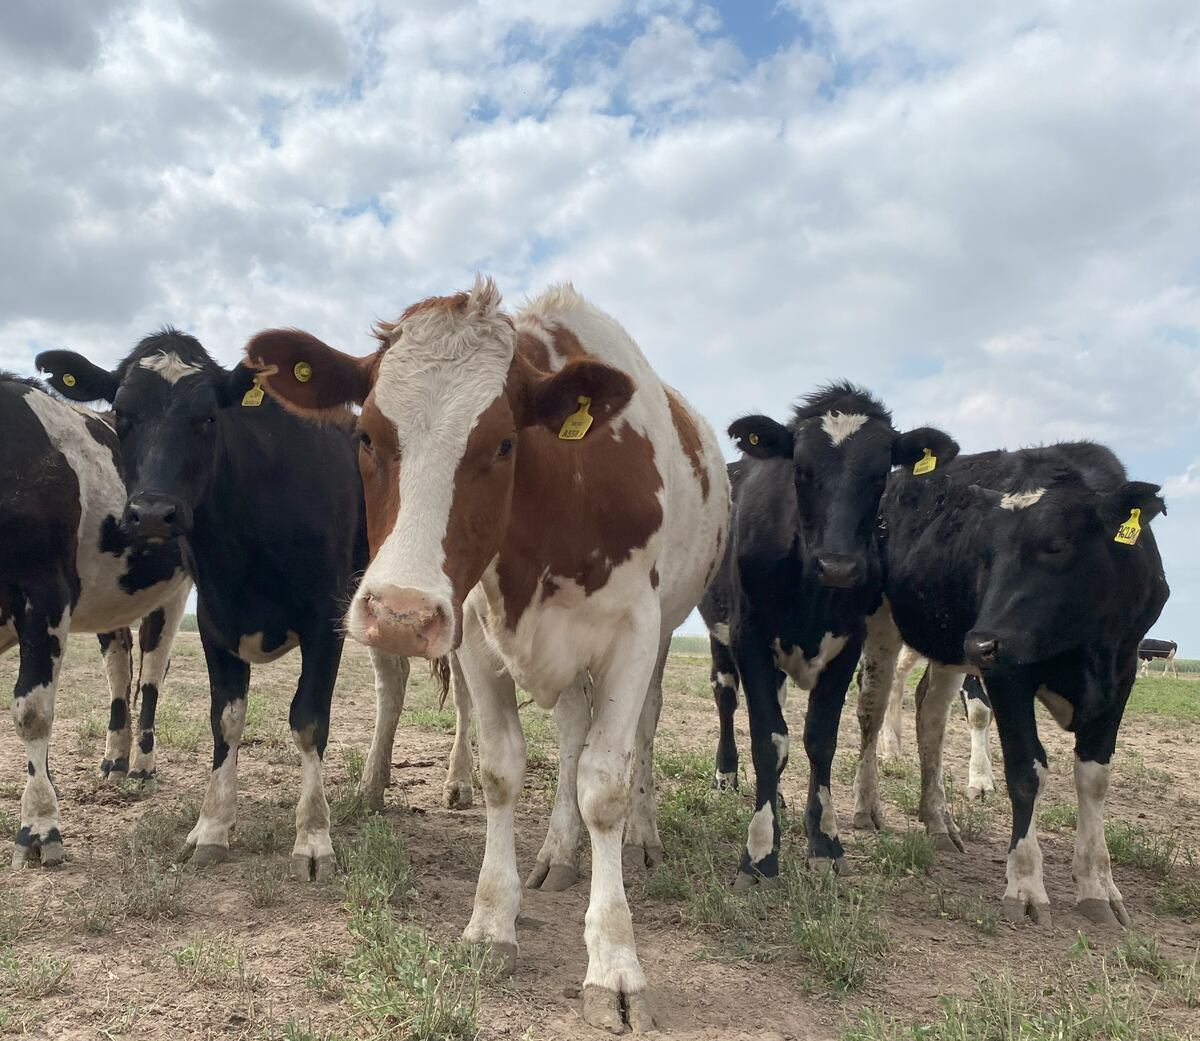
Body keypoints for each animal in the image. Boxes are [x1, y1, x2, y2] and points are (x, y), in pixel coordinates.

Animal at [2, 372, 191, 866]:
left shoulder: (44, 591)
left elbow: (32, 711)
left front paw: (39, 828)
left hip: (173, 592)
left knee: (150, 675)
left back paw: (142, 767)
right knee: (118, 671)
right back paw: (115, 761)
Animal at [36, 330, 406, 881]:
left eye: (208, 417)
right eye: (122, 414)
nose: (152, 513)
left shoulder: (323, 620)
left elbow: (309, 719)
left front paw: (313, 838)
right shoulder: (213, 621)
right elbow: (225, 720)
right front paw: (211, 828)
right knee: (394, 677)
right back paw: (373, 788)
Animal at [243, 279, 729, 1033]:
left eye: (503, 442)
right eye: (365, 435)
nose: (401, 613)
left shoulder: (633, 633)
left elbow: (605, 787)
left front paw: (615, 964)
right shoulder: (473, 627)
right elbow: (504, 771)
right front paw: (492, 923)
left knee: (638, 738)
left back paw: (643, 837)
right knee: (570, 737)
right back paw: (557, 853)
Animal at [702, 384, 959, 885]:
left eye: (880, 474)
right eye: (800, 469)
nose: (838, 566)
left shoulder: (848, 645)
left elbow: (820, 739)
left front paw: (823, 841)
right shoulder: (748, 635)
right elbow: (769, 740)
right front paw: (760, 851)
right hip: (719, 634)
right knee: (726, 696)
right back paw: (726, 775)